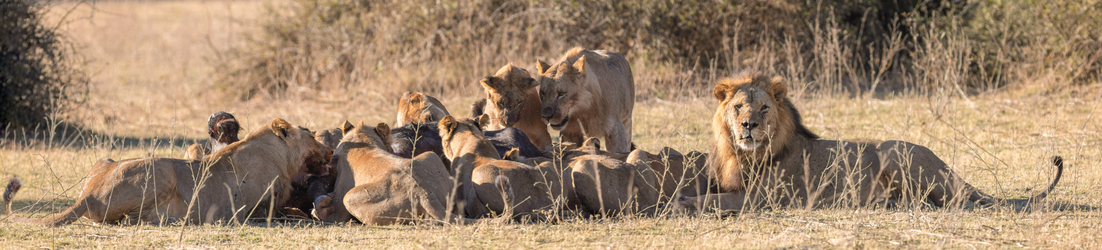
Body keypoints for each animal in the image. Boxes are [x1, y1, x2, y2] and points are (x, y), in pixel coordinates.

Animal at [5, 118, 330, 225]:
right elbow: (293, 212)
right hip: (161, 169)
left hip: (106, 160)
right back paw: (174, 219)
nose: (329, 151)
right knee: (132, 219)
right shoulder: (260, 208)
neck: (280, 156)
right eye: (310, 134)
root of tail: (87, 195)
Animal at [674, 71, 1062, 212]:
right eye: (738, 106)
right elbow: (703, 189)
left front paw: (680, 204)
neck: (741, 153)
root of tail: (950, 169)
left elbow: (711, 200)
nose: (748, 125)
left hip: (892, 149)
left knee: (952, 201)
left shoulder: (762, 197)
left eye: (764, 108)